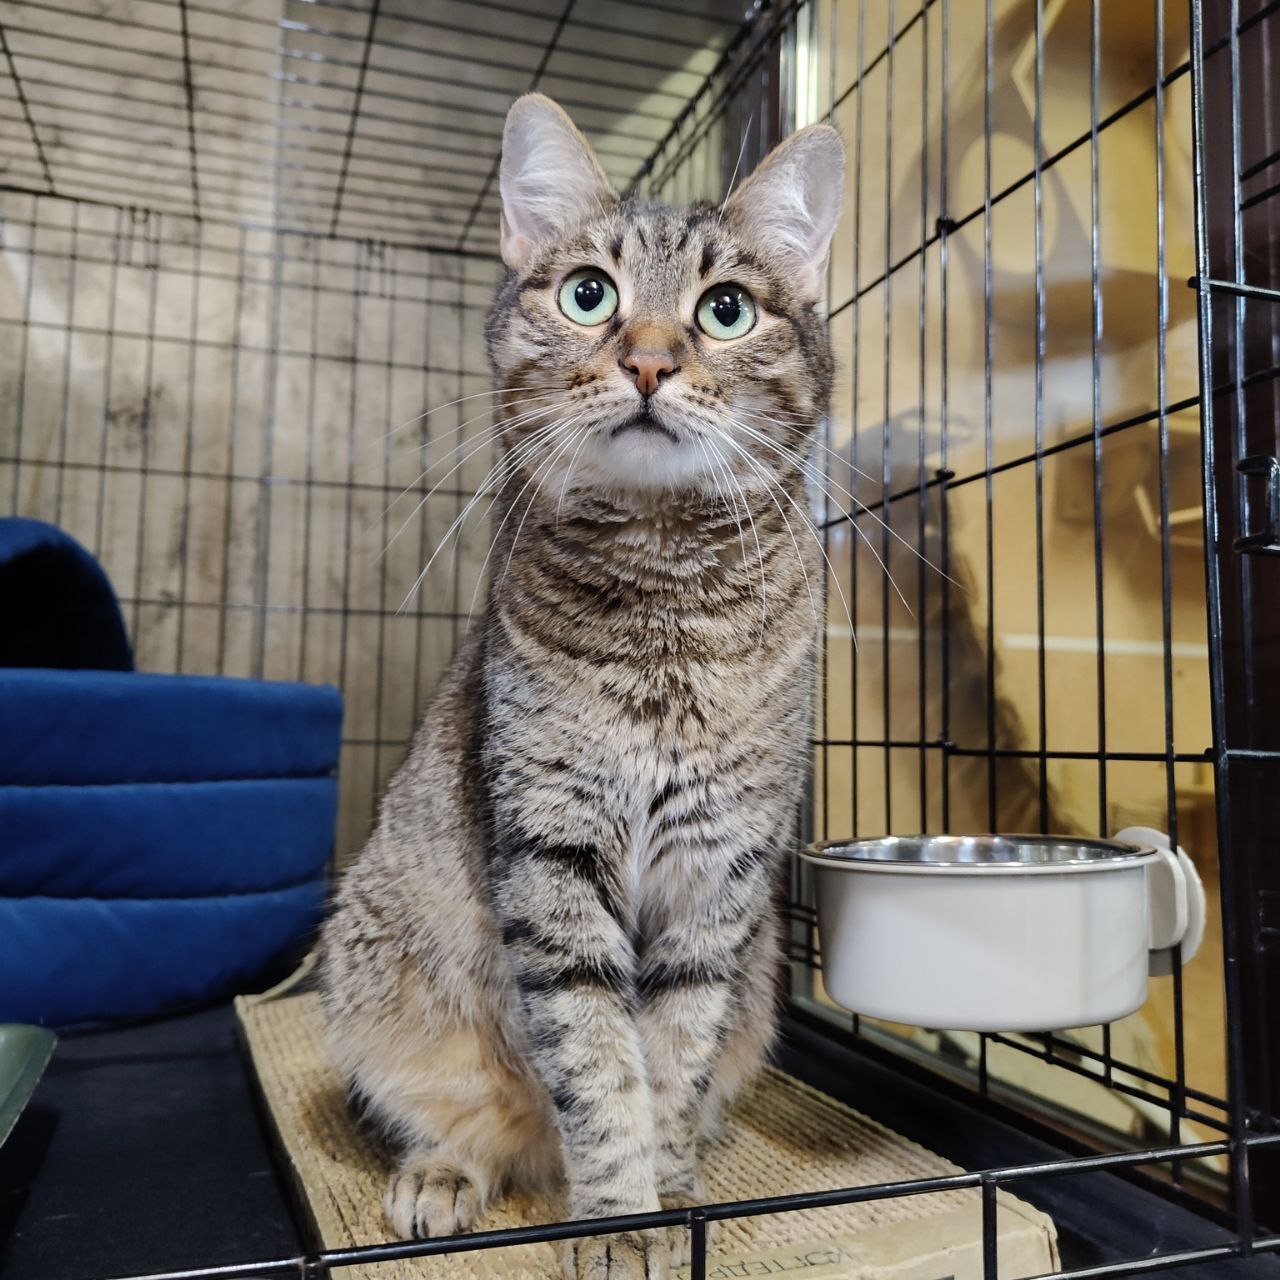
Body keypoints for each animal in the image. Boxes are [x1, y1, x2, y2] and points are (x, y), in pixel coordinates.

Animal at [318, 93, 843, 1280]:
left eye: (726, 310)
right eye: (587, 294)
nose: (648, 363)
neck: (664, 600)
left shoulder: (719, 871)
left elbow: (669, 1056)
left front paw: (668, 1195)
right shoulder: (551, 850)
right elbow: (598, 1068)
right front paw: (618, 1216)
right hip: (380, 972)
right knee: (470, 1120)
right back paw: (443, 1173)